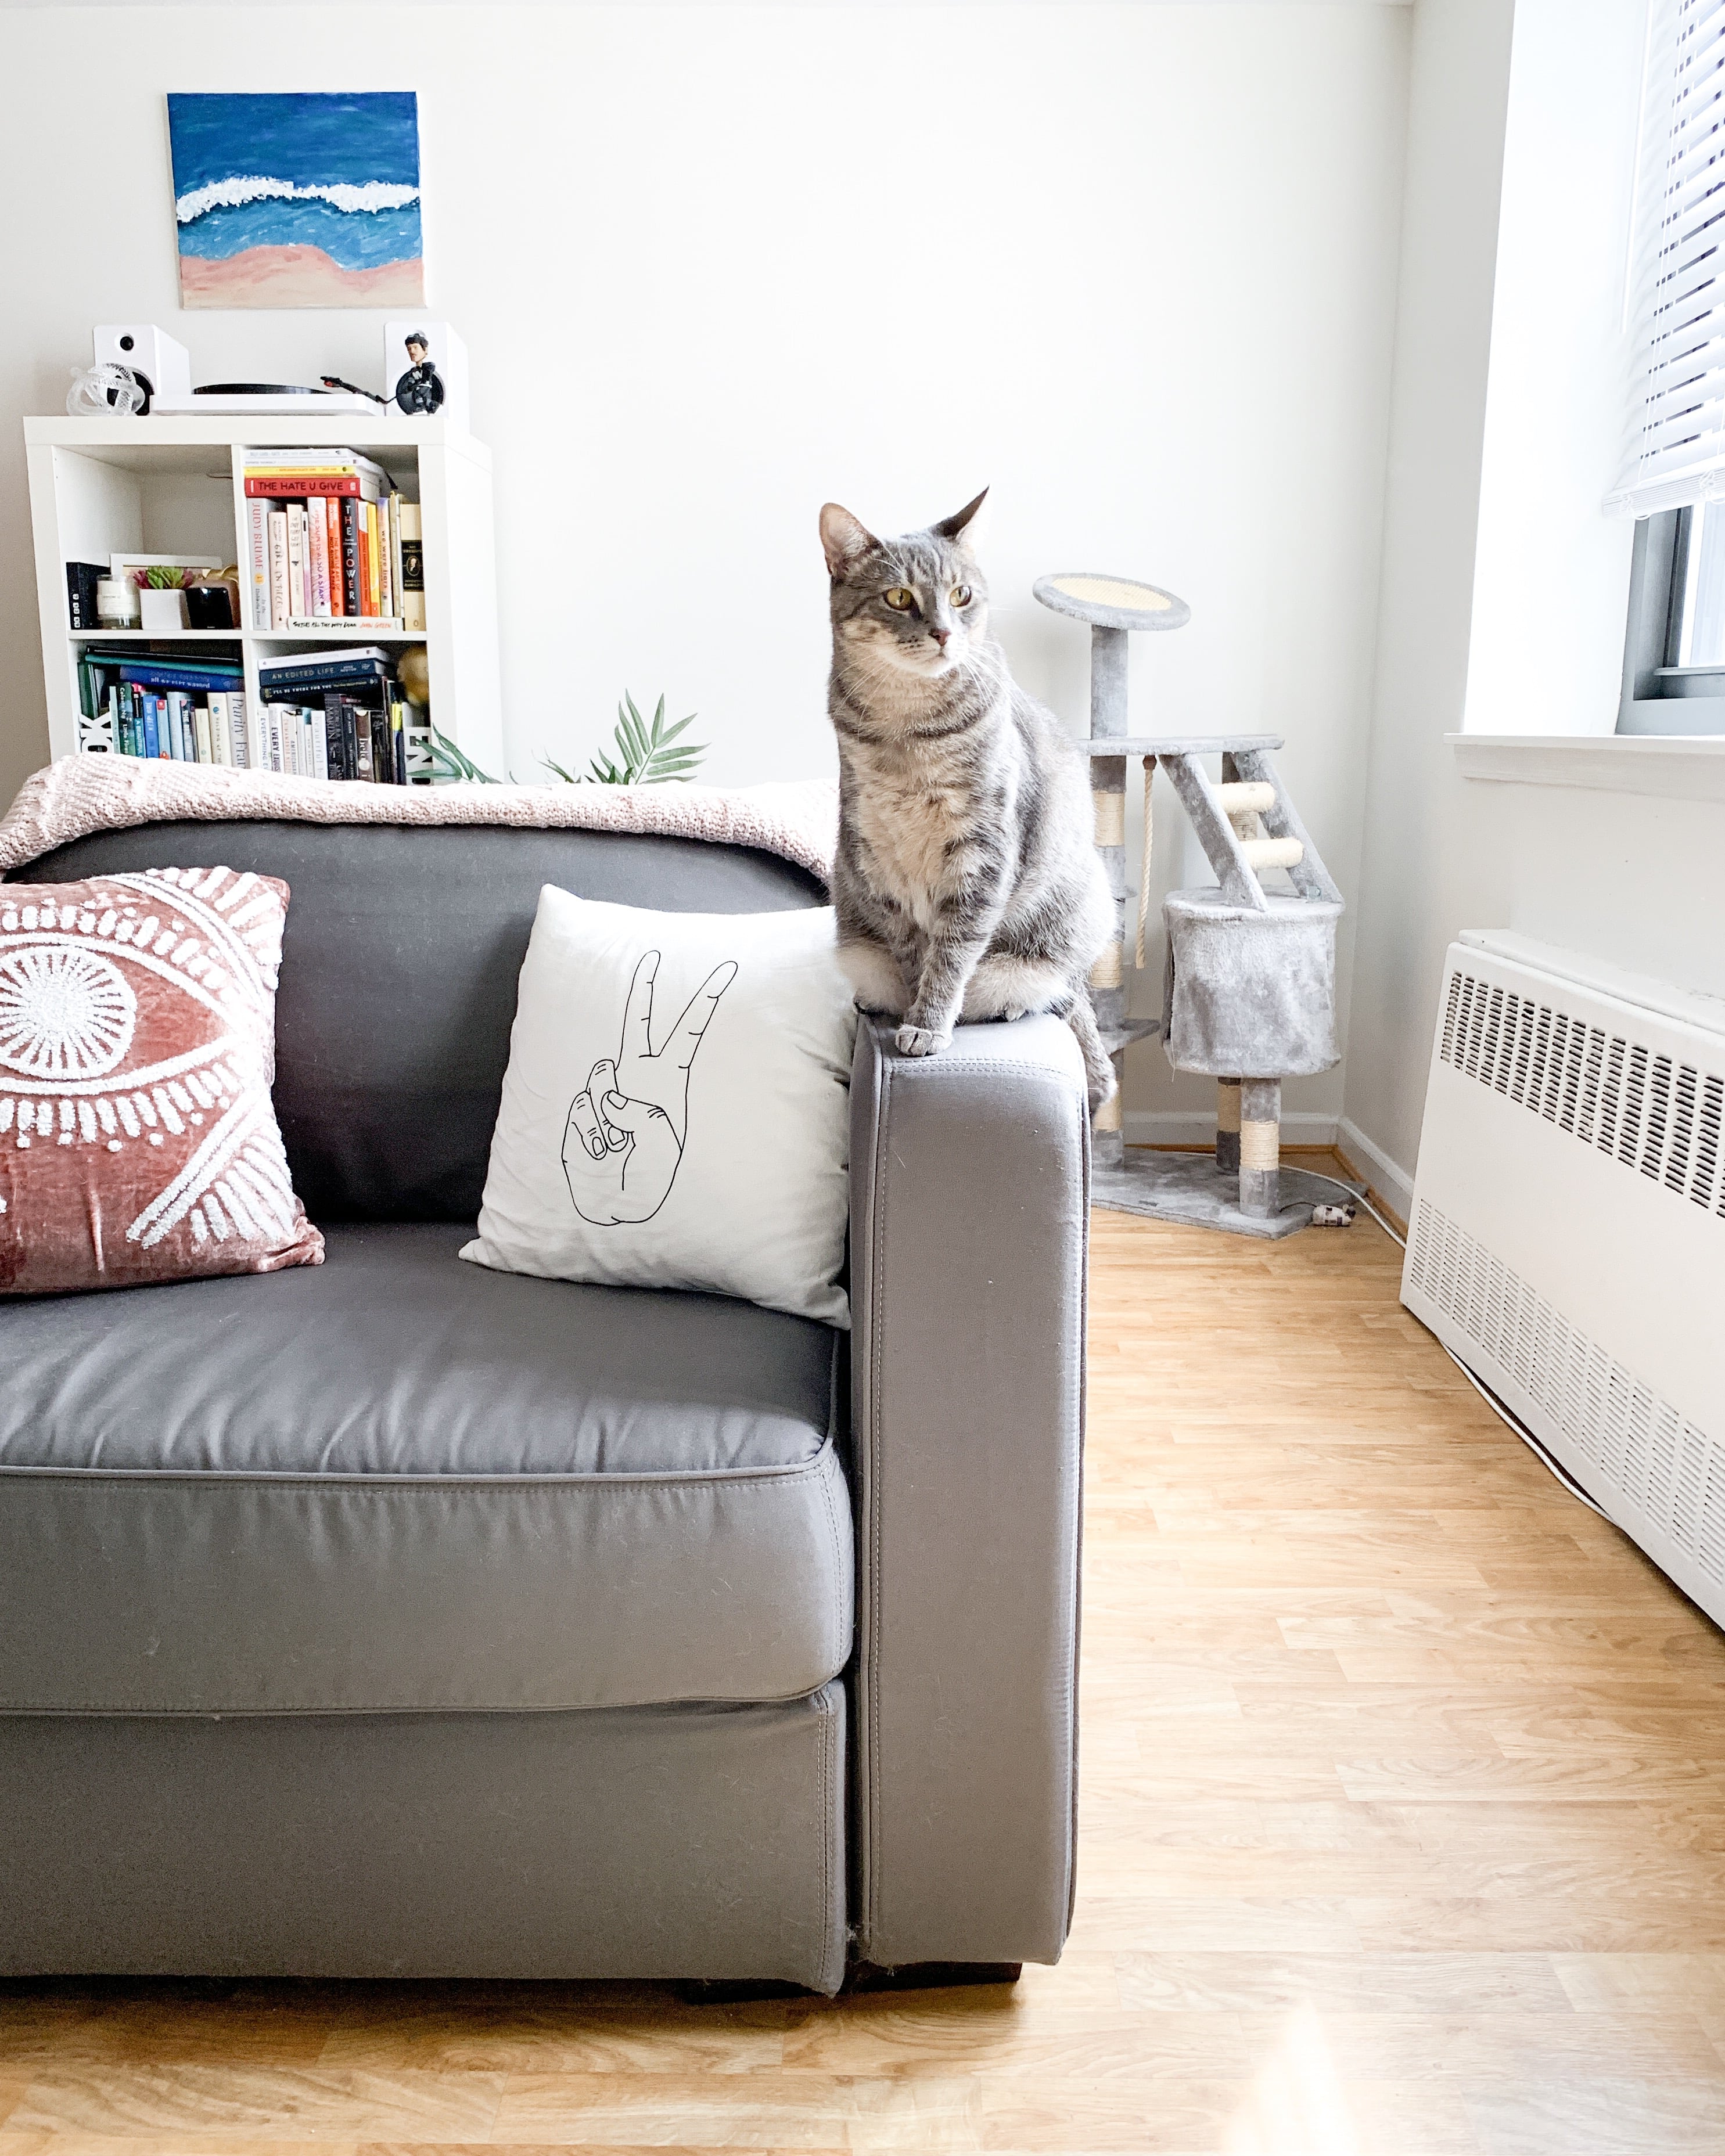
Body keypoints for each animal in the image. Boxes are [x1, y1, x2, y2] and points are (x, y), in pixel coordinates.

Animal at [824, 494, 1121, 1112]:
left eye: (960, 594)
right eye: (899, 597)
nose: (942, 632)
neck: (907, 732)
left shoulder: (982, 851)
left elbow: (953, 952)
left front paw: (928, 1024)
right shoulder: (876, 852)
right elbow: (915, 954)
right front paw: (913, 1014)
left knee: (1054, 995)